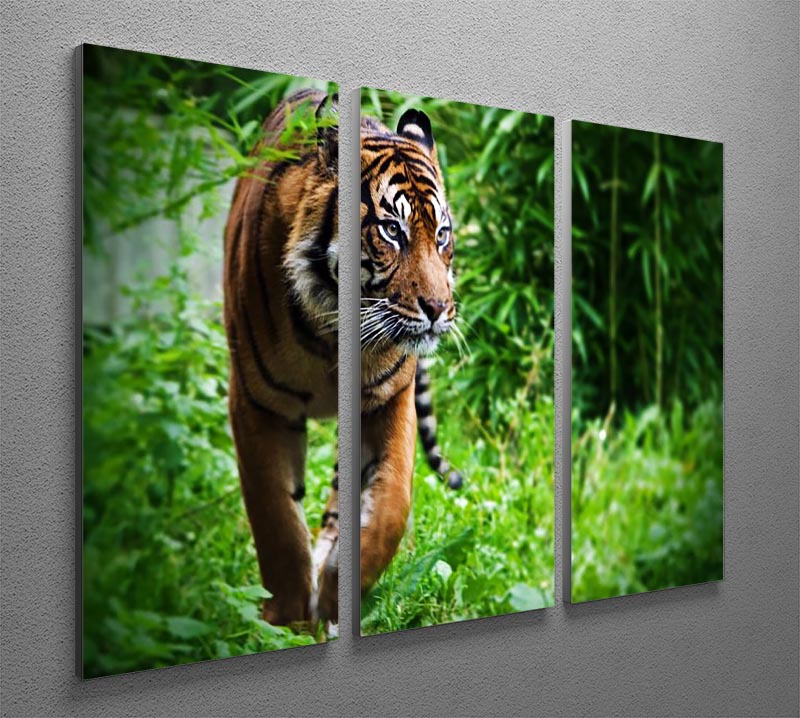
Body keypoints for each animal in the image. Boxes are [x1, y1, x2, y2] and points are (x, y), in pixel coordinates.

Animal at [223, 89, 460, 630]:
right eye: (392, 231)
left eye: (441, 234)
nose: (438, 309)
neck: (328, 335)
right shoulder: (256, 402)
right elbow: (274, 514)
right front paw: (287, 619)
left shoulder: (389, 399)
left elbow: (390, 506)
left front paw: (335, 594)